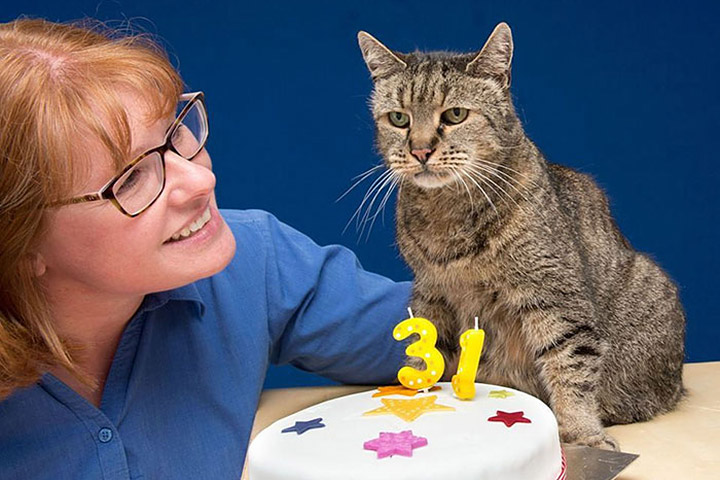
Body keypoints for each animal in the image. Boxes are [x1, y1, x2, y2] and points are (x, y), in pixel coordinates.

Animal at [360, 22, 688, 450]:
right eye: (399, 118)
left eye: (455, 114)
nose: (419, 150)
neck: (447, 214)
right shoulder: (431, 293)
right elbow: (424, 357)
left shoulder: (554, 295)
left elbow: (570, 365)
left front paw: (582, 434)